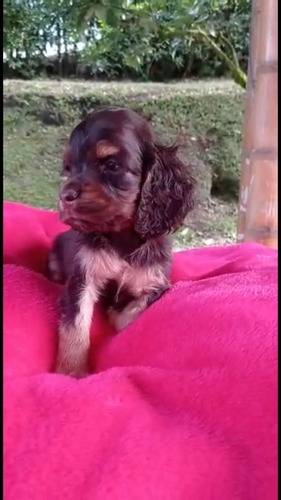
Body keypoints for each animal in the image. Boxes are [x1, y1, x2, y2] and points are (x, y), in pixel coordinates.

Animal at [47, 108, 196, 376]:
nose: (65, 196)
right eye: (68, 168)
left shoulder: (156, 284)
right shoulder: (81, 280)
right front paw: (71, 371)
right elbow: (75, 326)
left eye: (111, 165)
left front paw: (115, 311)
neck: (121, 237)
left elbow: (129, 315)